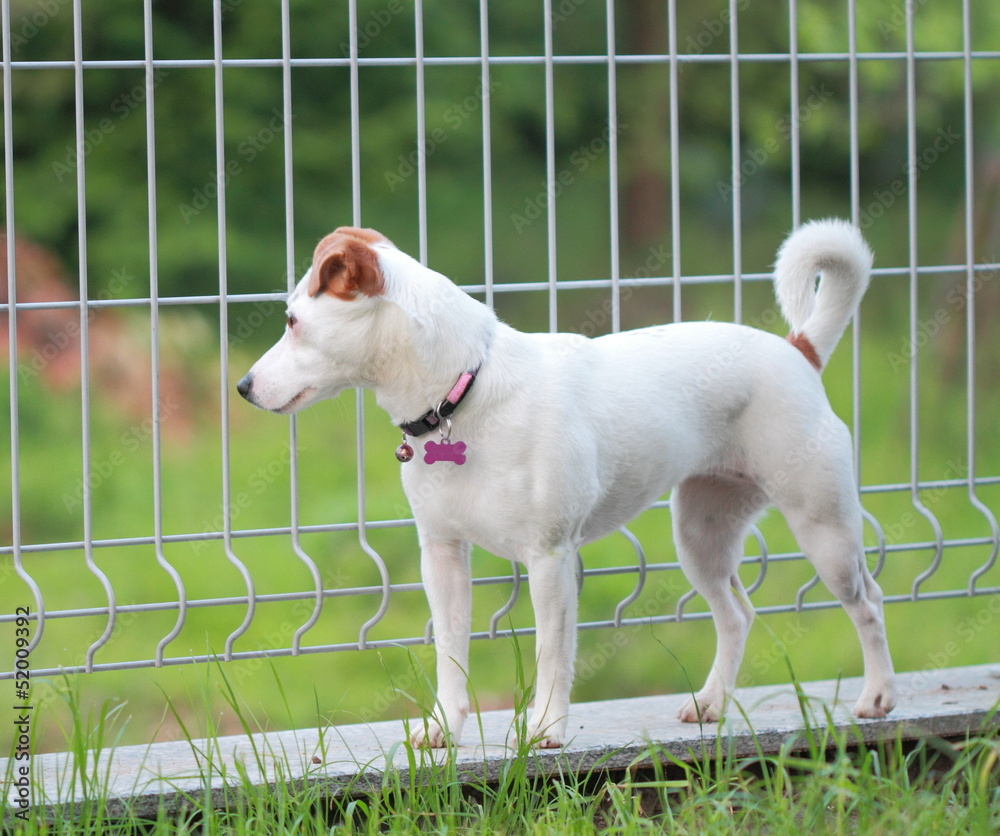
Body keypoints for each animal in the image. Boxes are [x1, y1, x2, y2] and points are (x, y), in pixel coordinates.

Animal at [238, 219, 896, 748]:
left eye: (293, 322)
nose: (243, 387)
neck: (463, 391)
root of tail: (798, 350)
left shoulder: (550, 559)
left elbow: (552, 653)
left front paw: (545, 730)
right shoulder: (442, 557)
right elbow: (450, 653)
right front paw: (443, 729)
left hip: (824, 528)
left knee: (868, 602)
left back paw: (877, 696)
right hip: (701, 535)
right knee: (736, 614)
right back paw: (711, 703)